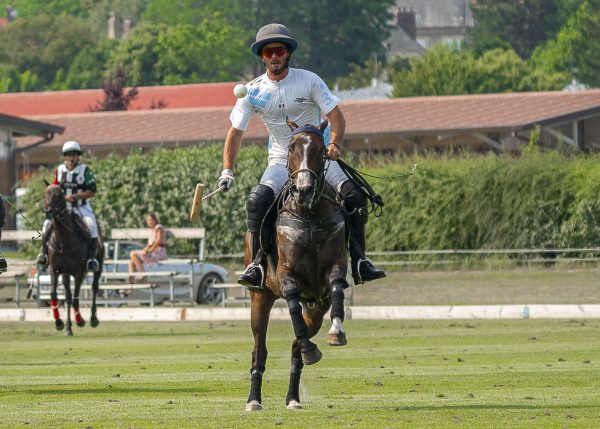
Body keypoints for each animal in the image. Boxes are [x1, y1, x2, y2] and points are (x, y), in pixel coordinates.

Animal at [44, 184, 104, 334]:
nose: (48, 211)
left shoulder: (78, 272)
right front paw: (59, 323)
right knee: (68, 295)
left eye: (59, 195)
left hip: (99, 264)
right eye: (45, 194)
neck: (63, 241)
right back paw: (68, 326)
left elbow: (76, 297)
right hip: (66, 274)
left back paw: (93, 319)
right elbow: (55, 294)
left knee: (94, 287)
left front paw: (80, 320)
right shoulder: (55, 270)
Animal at [243, 118, 346, 410]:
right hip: (260, 298)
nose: (303, 190)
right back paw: (253, 400)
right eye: (291, 147)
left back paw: (293, 397)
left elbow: (337, 284)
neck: (309, 214)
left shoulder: (334, 268)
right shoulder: (286, 273)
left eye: (322, 149)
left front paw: (337, 331)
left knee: (296, 347)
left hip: (315, 307)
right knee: (259, 350)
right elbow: (290, 298)